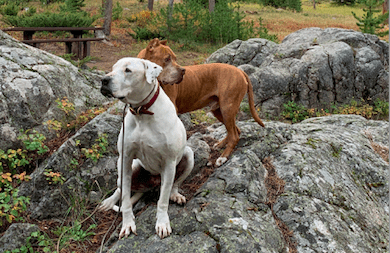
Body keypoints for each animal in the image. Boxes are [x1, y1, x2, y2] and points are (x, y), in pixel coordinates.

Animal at [99, 57, 193, 239]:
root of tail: (149, 185)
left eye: (128, 70)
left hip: (188, 155)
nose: (104, 80)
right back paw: (108, 202)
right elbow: (125, 200)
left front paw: (162, 223)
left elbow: (162, 201)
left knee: (174, 184)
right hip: (129, 168)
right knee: (120, 189)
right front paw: (127, 224)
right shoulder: (125, 158)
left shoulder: (169, 162)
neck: (142, 112)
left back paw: (175, 195)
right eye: (112, 68)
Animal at [138, 38, 266, 166]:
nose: (183, 71)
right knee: (235, 130)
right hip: (219, 111)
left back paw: (223, 157)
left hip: (227, 109)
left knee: (234, 135)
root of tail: (239, 71)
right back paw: (221, 144)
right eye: (167, 59)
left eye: (175, 58)